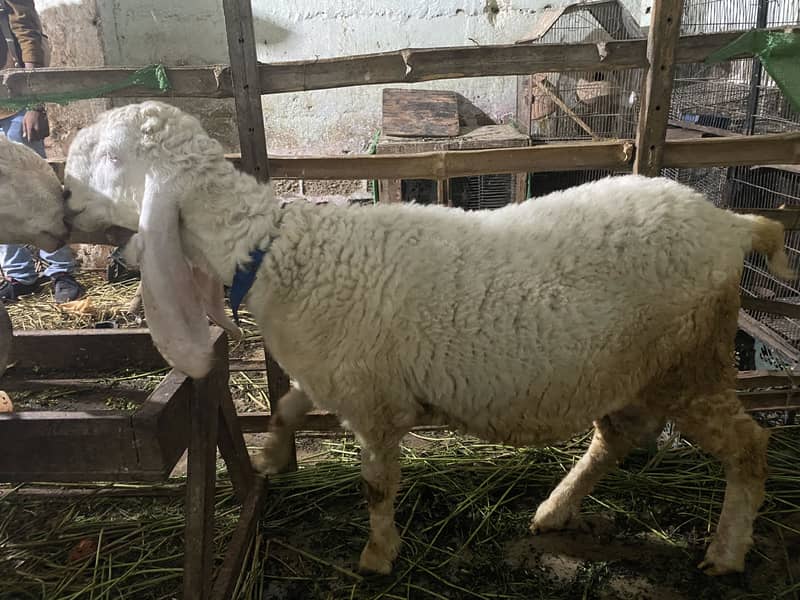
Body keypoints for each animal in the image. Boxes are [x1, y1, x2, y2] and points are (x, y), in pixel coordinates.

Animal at [63, 100, 793, 577]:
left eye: (111, 157)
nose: (64, 197)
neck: (279, 253)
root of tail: (731, 224)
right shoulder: (340, 377)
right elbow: (288, 404)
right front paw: (270, 455)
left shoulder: (375, 405)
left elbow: (376, 487)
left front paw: (377, 556)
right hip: (632, 367)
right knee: (617, 438)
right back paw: (553, 510)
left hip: (690, 362)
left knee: (751, 445)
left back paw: (726, 552)